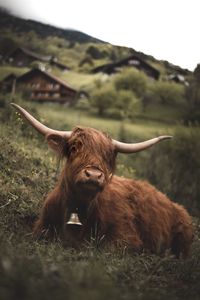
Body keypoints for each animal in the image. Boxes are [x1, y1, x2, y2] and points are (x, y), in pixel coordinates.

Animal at [11, 103, 193, 258]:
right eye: (74, 148)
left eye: (107, 156)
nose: (93, 175)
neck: (78, 207)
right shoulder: (41, 228)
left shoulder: (126, 239)